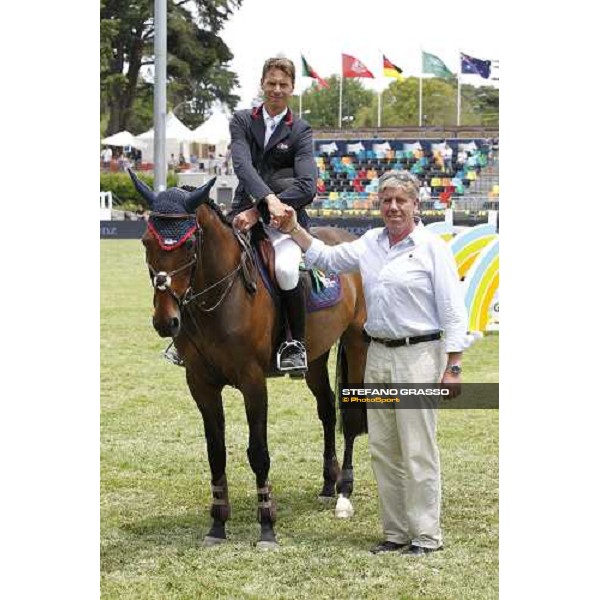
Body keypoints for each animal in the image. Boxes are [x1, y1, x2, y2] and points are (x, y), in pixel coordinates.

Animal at [129, 171, 368, 552]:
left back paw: (344, 492)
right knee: (327, 410)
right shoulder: (201, 384)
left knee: (351, 414)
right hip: (316, 357)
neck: (218, 296)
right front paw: (217, 525)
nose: (166, 322)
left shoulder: (253, 382)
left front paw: (267, 526)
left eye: (190, 244)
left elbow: (258, 452)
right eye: (145, 242)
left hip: (357, 343)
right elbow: (215, 452)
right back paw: (328, 485)